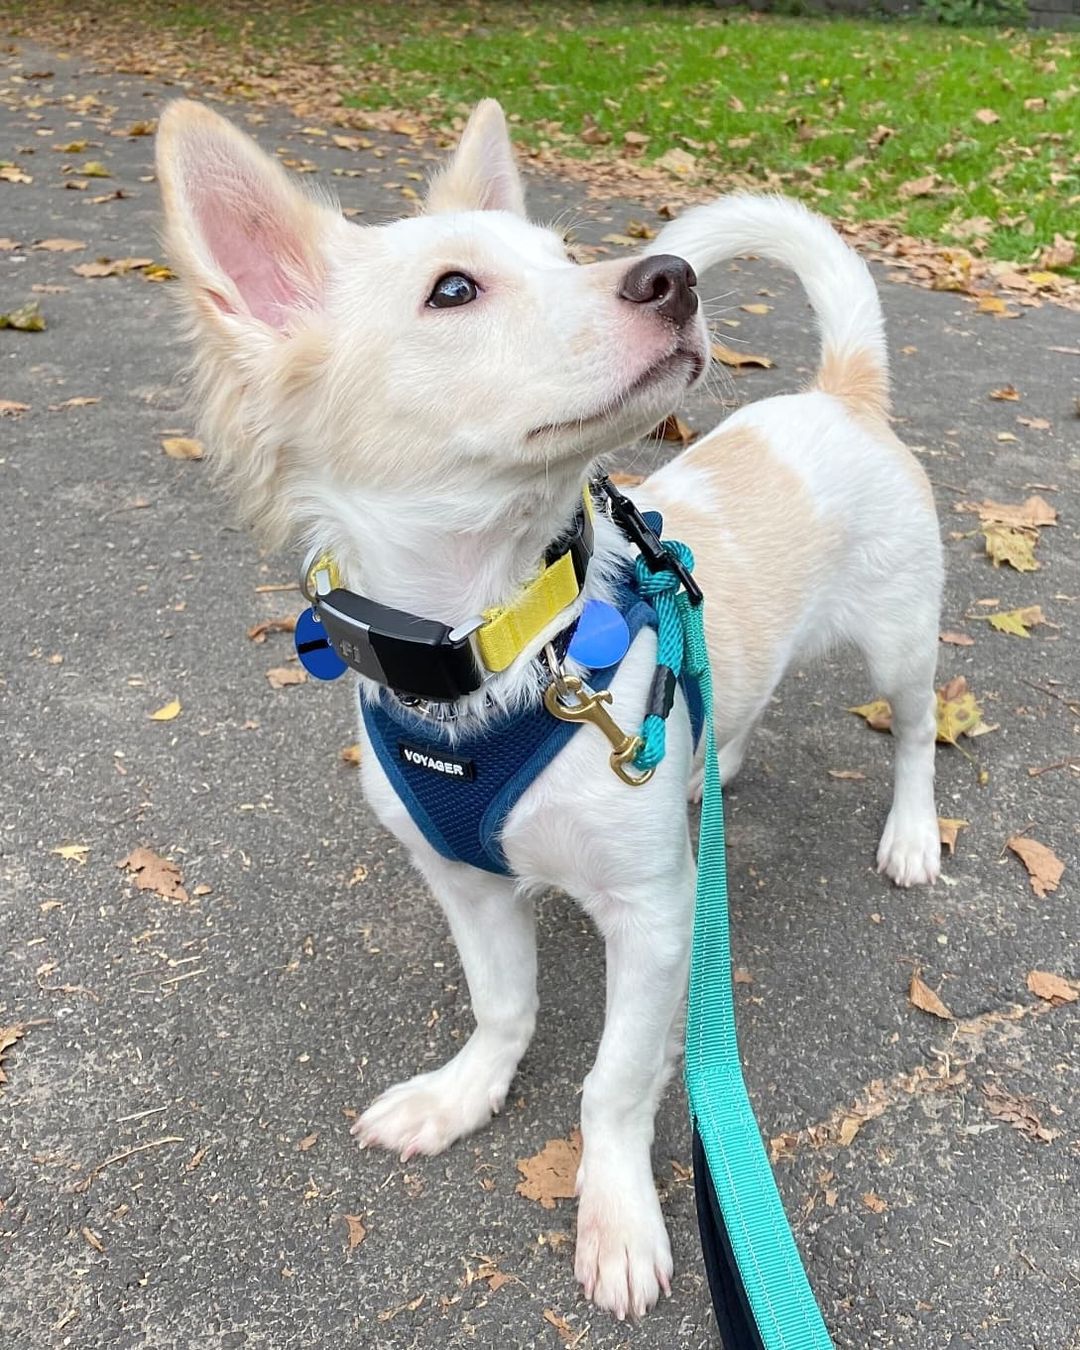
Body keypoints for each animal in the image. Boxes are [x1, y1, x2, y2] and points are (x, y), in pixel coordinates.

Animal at [155, 99, 939, 1323]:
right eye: (454, 290)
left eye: (564, 255)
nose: (672, 278)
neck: (497, 642)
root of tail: (837, 390)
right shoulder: (466, 884)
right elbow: (503, 1008)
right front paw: (461, 1096)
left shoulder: (656, 916)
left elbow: (613, 1083)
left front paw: (615, 1213)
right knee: (737, 707)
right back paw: (715, 764)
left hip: (903, 642)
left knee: (913, 733)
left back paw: (911, 832)